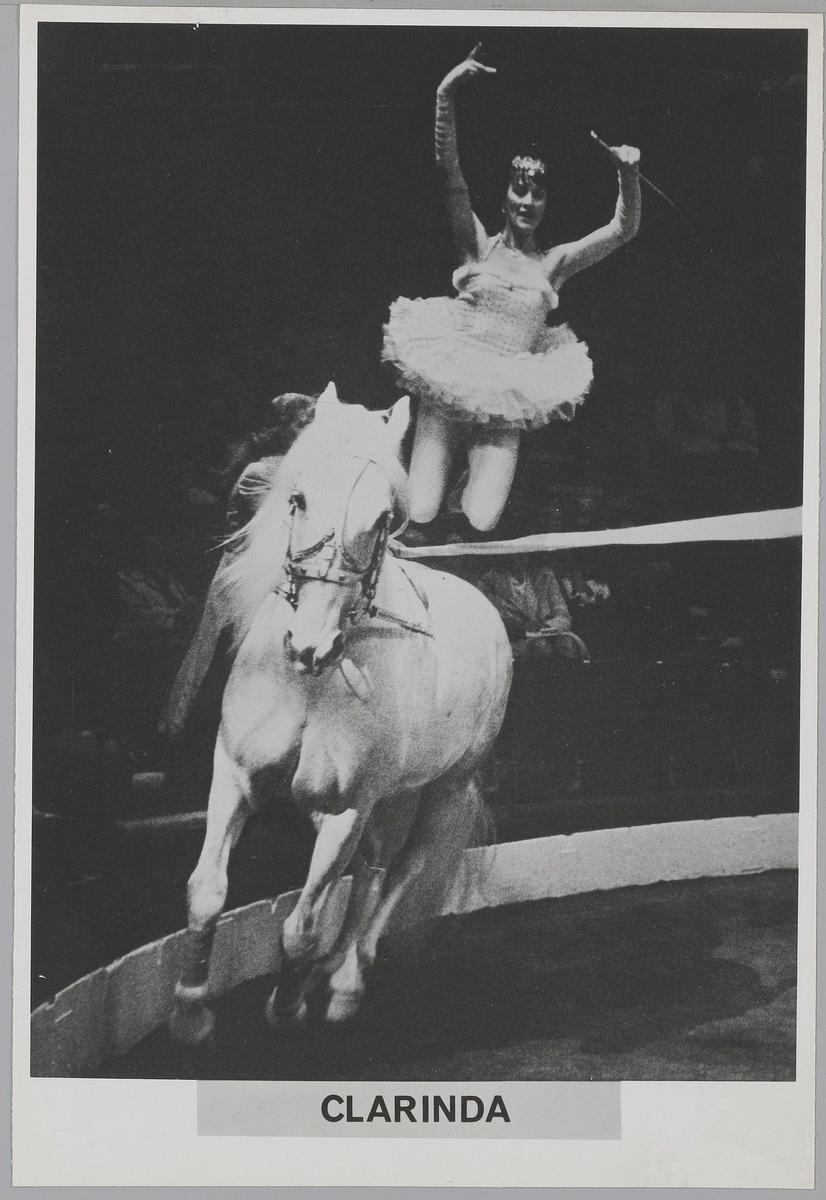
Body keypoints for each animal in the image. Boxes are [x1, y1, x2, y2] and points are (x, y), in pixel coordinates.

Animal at [170, 382, 513, 1045]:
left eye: (382, 519)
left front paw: (287, 1007)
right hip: (389, 797)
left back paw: (348, 982)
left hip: (444, 788)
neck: (309, 686)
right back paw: (336, 969)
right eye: (298, 498)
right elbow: (206, 891)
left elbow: (302, 925)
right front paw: (191, 1011)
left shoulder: (346, 807)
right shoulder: (235, 775)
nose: (310, 645)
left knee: (403, 867)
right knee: (374, 867)